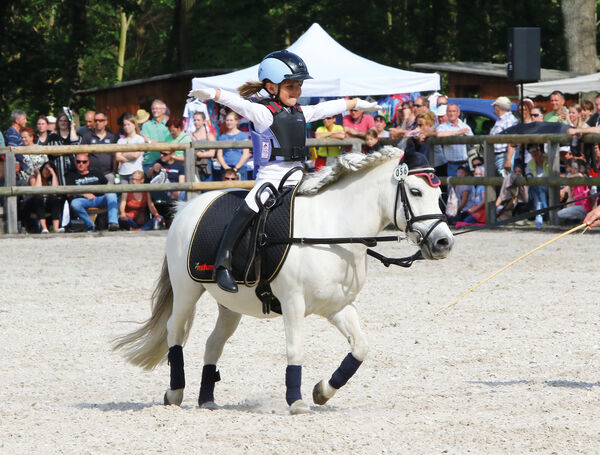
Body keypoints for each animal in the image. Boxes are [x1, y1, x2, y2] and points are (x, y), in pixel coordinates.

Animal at [112, 148, 452, 416]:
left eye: (440, 195)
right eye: (416, 192)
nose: (444, 242)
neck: (332, 231)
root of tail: (188, 208)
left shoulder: (338, 306)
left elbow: (360, 348)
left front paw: (322, 391)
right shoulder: (292, 303)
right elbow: (295, 350)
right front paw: (297, 401)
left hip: (229, 304)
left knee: (213, 343)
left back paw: (207, 399)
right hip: (187, 290)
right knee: (175, 332)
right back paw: (175, 392)